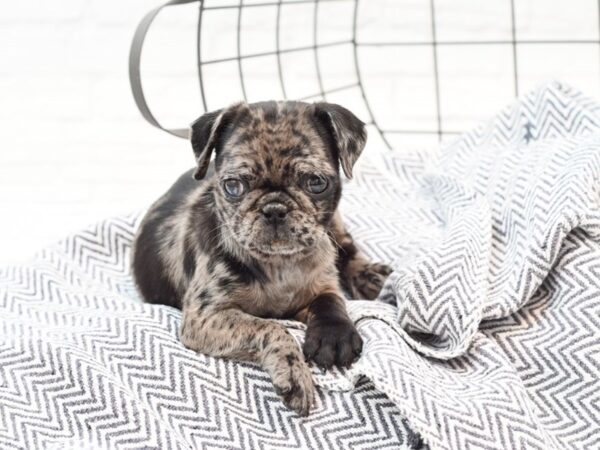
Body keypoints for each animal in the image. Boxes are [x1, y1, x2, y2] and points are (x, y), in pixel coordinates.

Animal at [131, 100, 392, 416]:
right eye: (233, 186)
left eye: (316, 183)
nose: (275, 208)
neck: (280, 264)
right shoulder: (205, 317)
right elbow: (270, 327)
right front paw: (294, 372)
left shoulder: (321, 281)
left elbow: (331, 300)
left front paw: (334, 335)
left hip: (334, 225)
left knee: (346, 247)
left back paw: (370, 276)